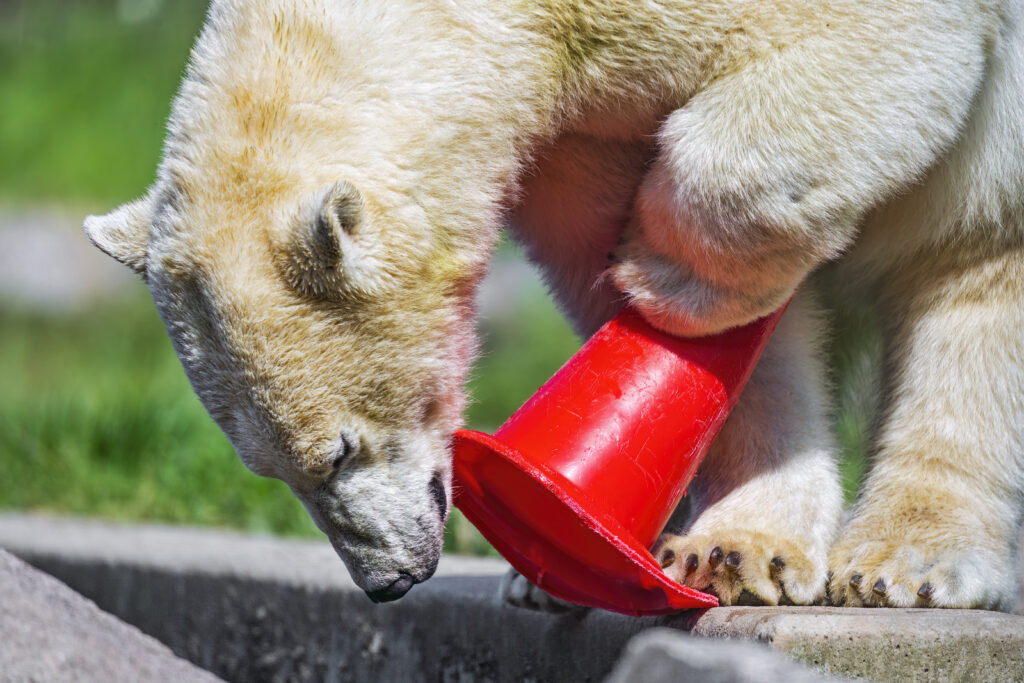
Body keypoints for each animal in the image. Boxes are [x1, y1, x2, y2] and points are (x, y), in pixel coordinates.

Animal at [84, 0, 1024, 609]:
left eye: (338, 451)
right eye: (268, 470)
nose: (388, 582)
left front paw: (661, 270)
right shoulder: (579, 127)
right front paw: (734, 547)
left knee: (978, 270)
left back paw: (908, 560)